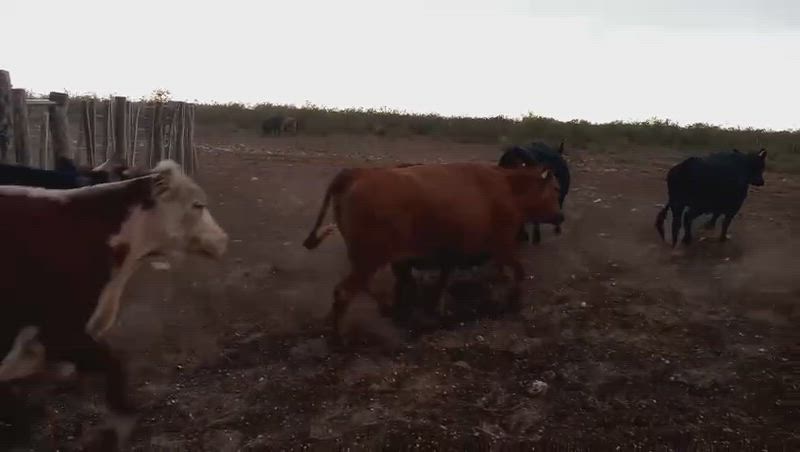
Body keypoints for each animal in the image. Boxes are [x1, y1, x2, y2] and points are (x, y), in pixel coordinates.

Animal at [302, 162, 563, 339]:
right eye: (556, 189)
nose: (560, 216)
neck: (506, 189)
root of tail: (358, 173)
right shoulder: (503, 246)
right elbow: (519, 272)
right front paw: (514, 300)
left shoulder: (451, 251)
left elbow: (443, 279)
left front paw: (436, 308)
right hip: (368, 259)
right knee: (344, 291)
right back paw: (340, 335)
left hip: (364, 260)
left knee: (359, 287)